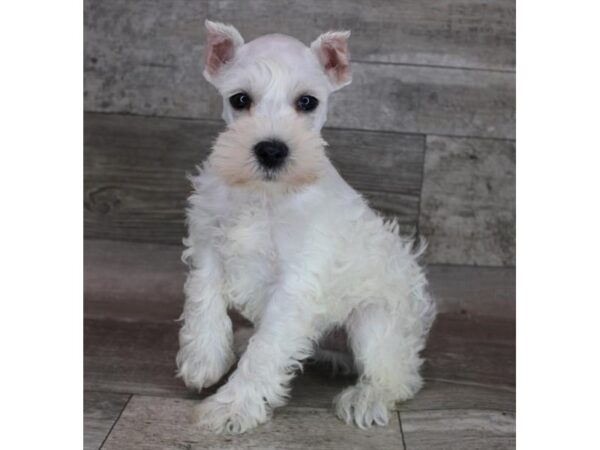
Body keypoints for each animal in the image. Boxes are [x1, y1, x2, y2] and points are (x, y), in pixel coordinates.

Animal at [176, 19, 434, 434]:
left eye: (307, 102)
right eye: (240, 100)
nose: (271, 150)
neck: (265, 195)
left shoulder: (295, 284)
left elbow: (267, 350)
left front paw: (231, 407)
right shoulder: (208, 243)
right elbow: (203, 297)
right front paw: (203, 359)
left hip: (375, 321)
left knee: (398, 376)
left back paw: (367, 398)